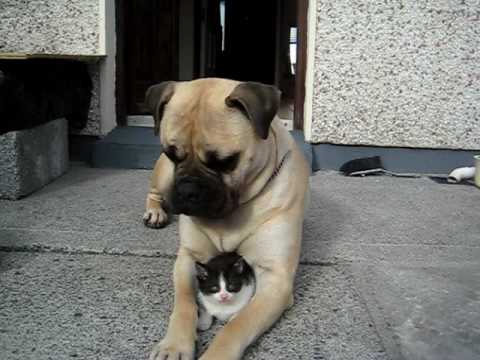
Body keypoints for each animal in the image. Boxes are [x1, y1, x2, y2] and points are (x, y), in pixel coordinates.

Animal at [142, 77, 310, 358]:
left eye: (225, 162)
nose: (188, 189)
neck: (232, 213)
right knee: (153, 193)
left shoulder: (275, 278)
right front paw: (175, 344)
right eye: (172, 154)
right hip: (162, 178)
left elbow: (238, 325)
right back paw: (155, 212)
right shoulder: (189, 258)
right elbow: (184, 304)